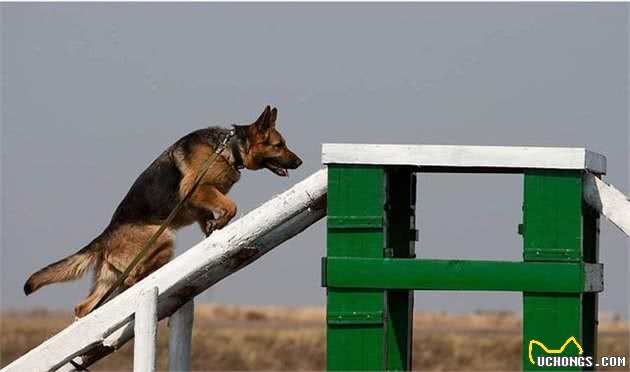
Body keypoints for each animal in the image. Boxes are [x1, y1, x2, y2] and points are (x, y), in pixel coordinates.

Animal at [22, 104, 304, 316]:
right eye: (279, 145)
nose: (300, 162)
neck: (230, 147)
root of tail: (106, 234)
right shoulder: (197, 188)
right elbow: (231, 205)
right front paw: (221, 221)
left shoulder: (198, 203)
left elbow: (212, 215)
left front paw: (214, 228)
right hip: (163, 237)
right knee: (131, 281)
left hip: (109, 277)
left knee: (84, 307)